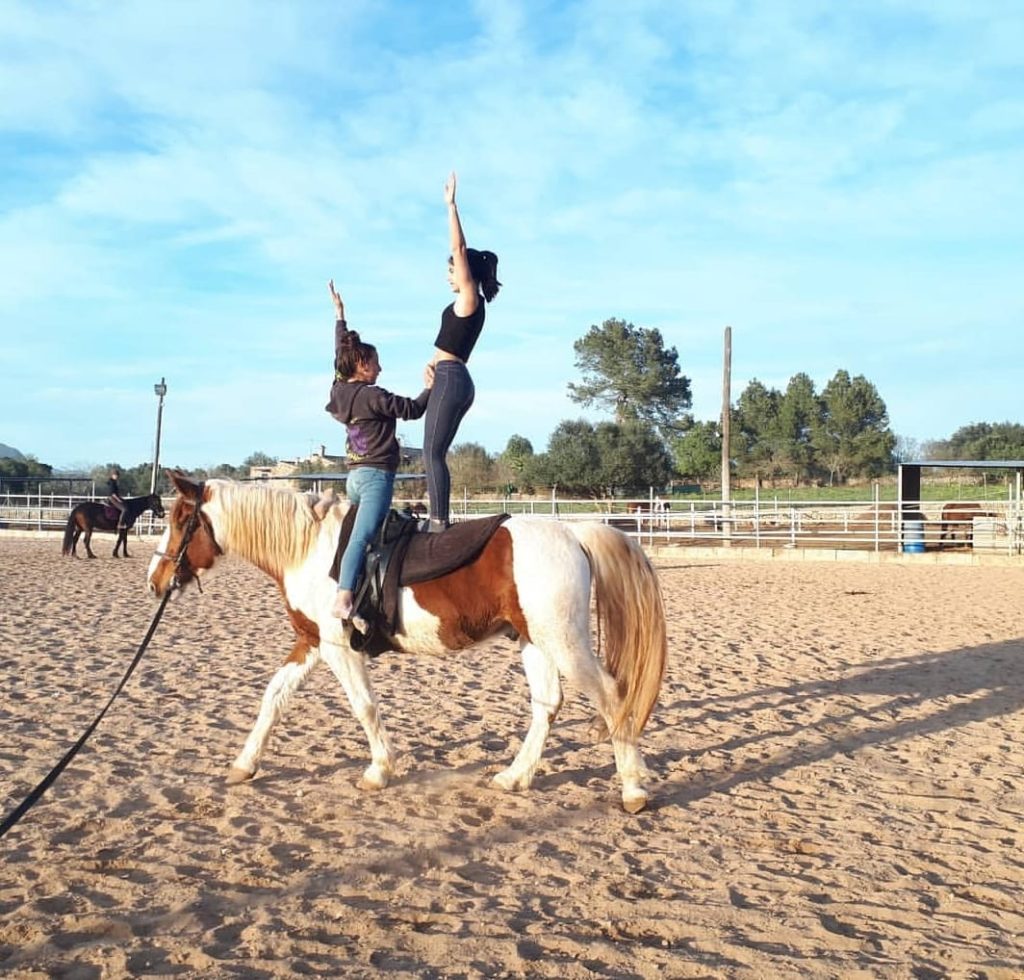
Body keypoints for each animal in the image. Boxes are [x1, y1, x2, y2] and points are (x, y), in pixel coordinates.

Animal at [148, 473, 667, 811]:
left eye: (180, 519)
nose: (156, 581)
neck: (308, 548)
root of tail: (572, 532)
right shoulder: (311, 642)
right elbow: (273, 698)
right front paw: (244, 764)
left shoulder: (338, 648)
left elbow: (364, 707)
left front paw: (379, 770)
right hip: (535, 640)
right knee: (547, 704)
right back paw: (514, 777)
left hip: (564, 641)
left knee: (611, 695)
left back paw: (633, 790)